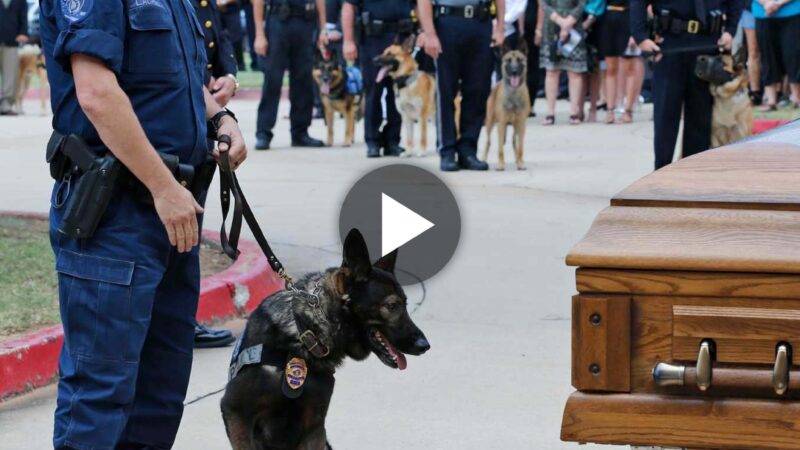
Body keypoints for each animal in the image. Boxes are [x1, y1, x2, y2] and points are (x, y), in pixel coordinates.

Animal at [219, 230, 432, 448]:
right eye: (392, 306)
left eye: (405, 304)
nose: (424, 346)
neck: (304, 336)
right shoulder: (236, 412)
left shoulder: (315, 425)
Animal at [482, 40, 532, 171]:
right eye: (508, 60)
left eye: (519, 60)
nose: (514, 71)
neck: (513, 93)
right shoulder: (501, 123)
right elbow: (500, 148)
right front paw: (501, 164)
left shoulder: (522, 123)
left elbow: (520, 147)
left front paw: (520, 162)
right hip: (490, 123)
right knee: (488, 141)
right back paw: (483, 159)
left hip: (515, 125)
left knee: (515, 141)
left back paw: (518, 160)